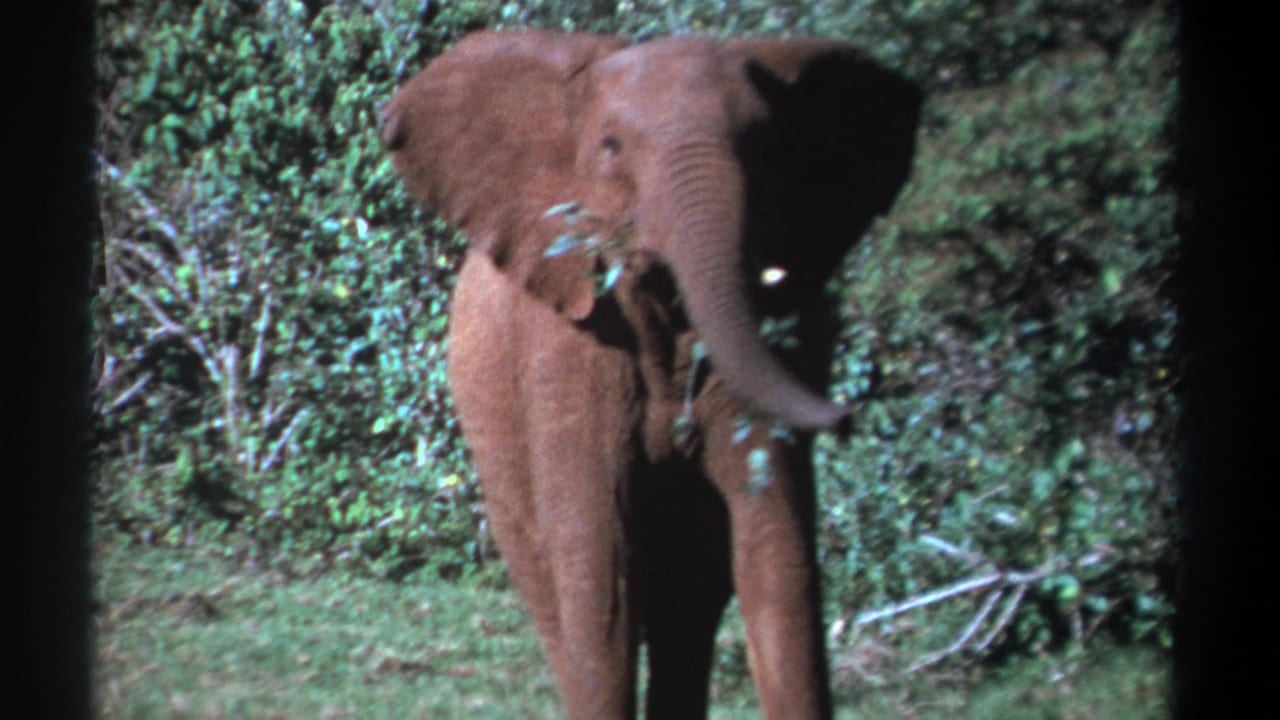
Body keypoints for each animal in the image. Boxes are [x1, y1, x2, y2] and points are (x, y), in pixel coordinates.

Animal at [381, 29, 921, 719]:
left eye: (764, 147)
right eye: (610, 148)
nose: (847, 415)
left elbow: (776, 557)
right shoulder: (566, 343)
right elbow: (599, 563)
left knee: (690, 603)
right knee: (554, 590)